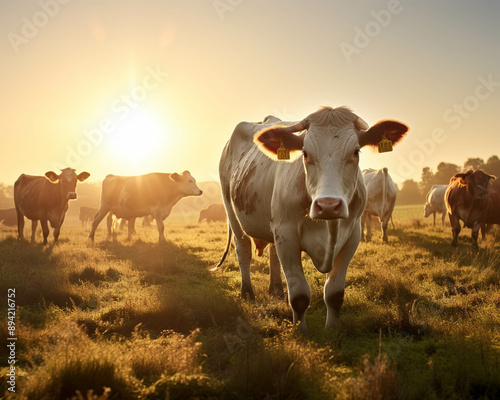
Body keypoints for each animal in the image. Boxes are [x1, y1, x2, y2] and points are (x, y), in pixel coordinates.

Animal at [217, 104, 408, 332]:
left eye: (356, 151)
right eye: (305, 153)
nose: (329, 205)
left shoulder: (352, 236)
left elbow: (334, 293)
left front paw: (333, 330)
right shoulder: (287, 236)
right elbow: (299, 296)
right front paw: (300, 331)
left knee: (272, 253)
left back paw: (276, 291)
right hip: (232, 211)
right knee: (243, 250)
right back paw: (247, 293)